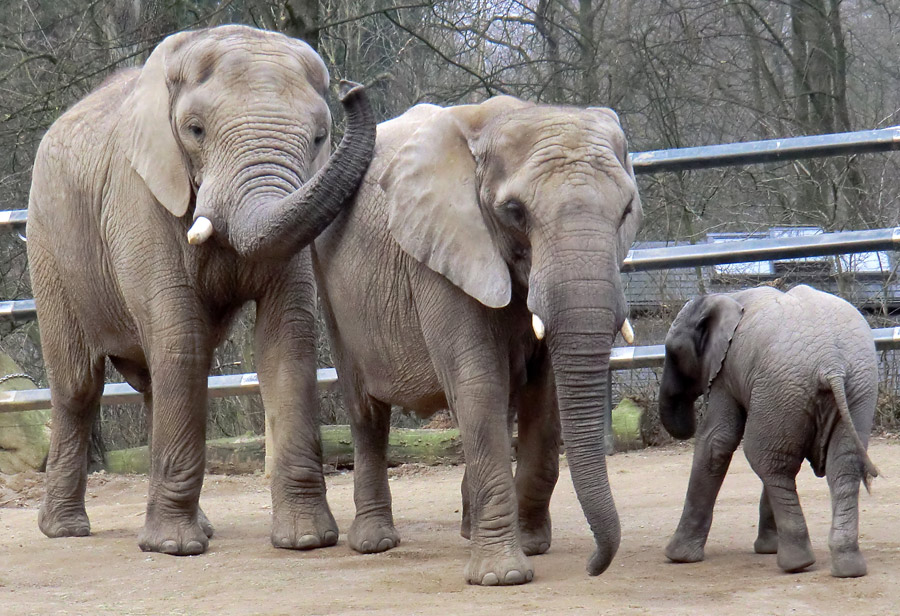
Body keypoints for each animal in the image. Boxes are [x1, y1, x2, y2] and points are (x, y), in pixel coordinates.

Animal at [26, 24, 374, 556]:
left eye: (319, 137)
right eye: (194, 130)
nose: (353, 89)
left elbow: (288, 337)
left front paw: (307, 541)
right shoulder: (138, 196)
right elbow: (180, 338)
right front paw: (174, 549)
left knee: (154, 379)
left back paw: (199, 525)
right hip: (48, 245)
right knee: (78, 383)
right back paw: (66, 530)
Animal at [312, 98, 644, 584]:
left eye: (625, 211)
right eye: (514, 211)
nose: (593, 567)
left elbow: (543, 396)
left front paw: (532, 545)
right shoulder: (441, 252)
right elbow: (477, 382)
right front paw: (502, 576)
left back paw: (469, 531)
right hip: (330, 287)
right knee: (367, 412)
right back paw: (375, 543)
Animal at [656, 284, 876, 576]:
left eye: (672, 352)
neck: (726, 296)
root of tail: (832, 365)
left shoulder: (725, 371)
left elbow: (716, 441)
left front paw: (677, 557)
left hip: (784, 386)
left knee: (768, 462)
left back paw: (796, 563)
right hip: (853, 391)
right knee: (841, 466)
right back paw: (847, 568)